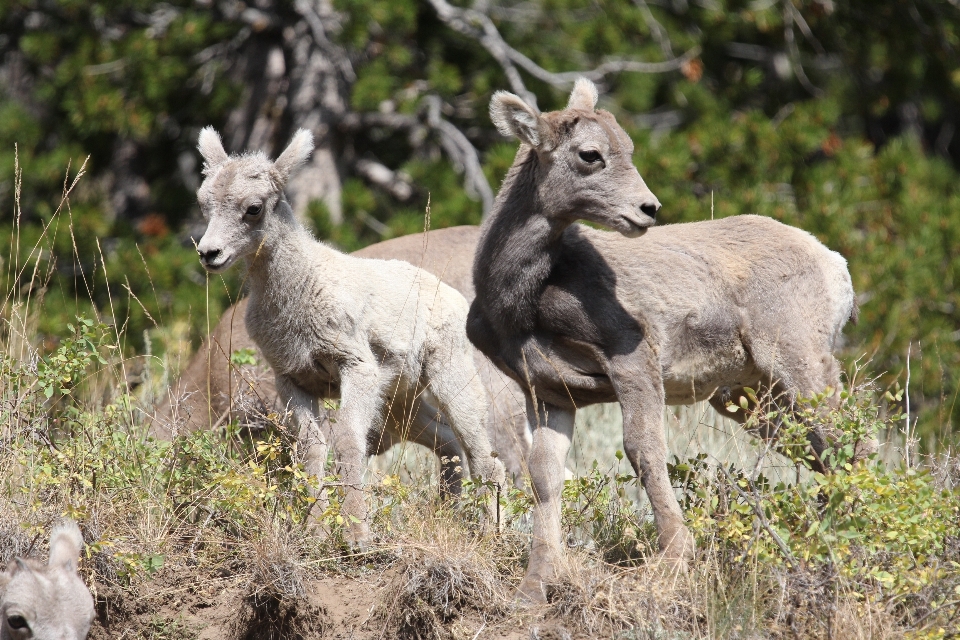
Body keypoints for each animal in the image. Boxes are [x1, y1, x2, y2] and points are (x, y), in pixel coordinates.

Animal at [197, 126, 510, 540]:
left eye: (254, 208)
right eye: (204, 203)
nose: (209, 253)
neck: (300, 289)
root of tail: (454, 298)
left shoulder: (355, 369)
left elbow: (348, 441)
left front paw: (357, 536)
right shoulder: (293, 380)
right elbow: (312, 449)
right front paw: (314, 531)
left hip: (450, 381)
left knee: (484, 459)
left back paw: (493, 535)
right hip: (400, 402)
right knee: (448, 446)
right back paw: (450, 514)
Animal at [464, 79, 872, 600]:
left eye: (628, 149)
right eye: (590, 154)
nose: (648, 209)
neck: (522, 299)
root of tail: (835, 265)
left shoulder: (633, 359)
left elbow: (643, 451)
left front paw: (673, 560)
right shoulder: (551, 393)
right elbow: (545, 475)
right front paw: (534, 587)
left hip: (799, 365)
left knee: (853, 442)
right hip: (752, 397)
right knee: (822, 452)